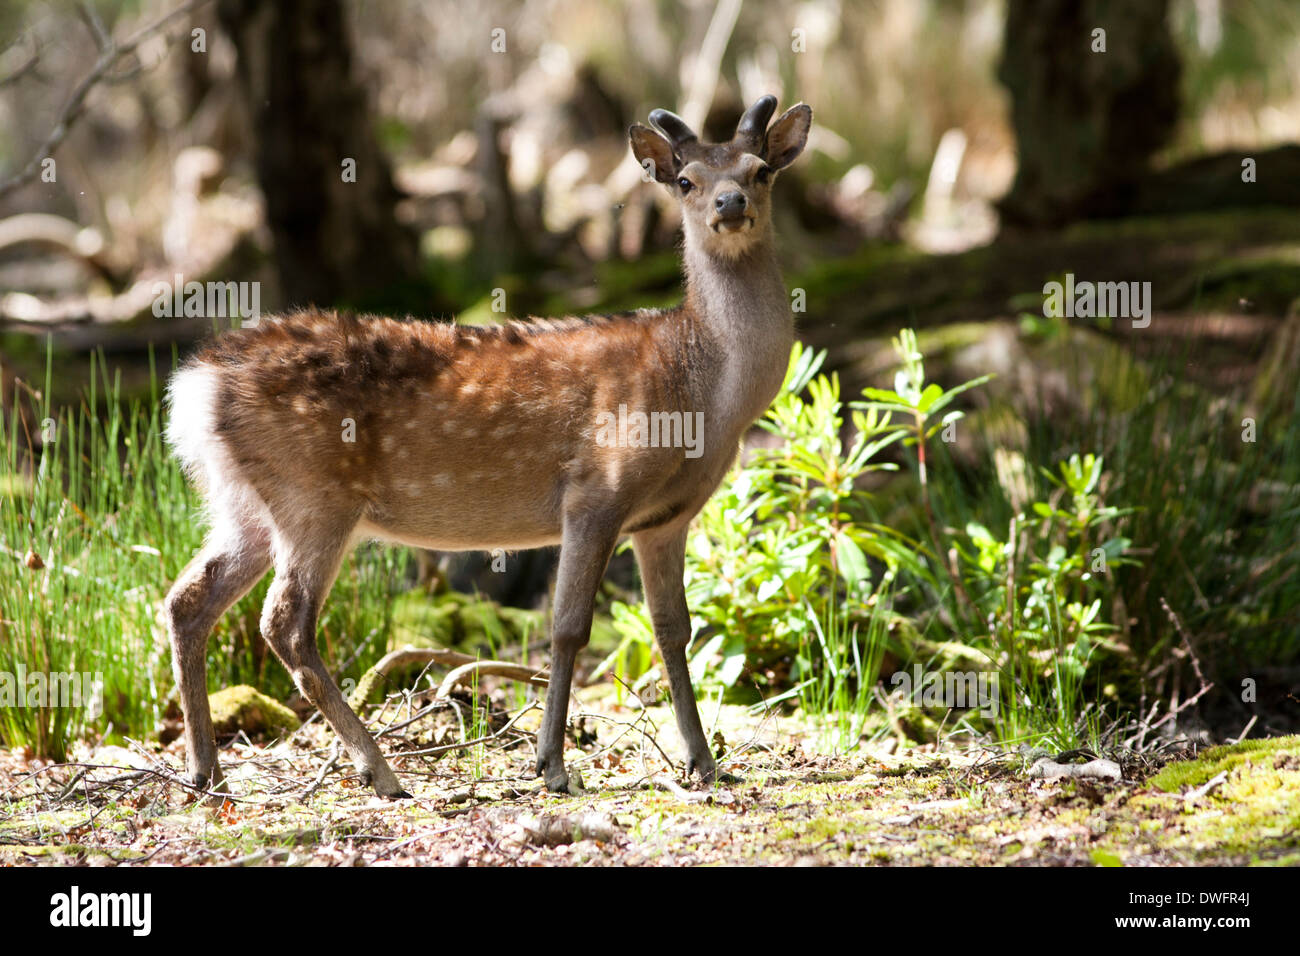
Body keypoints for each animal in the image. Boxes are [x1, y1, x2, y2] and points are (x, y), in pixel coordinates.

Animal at [162, 97, 811, 801]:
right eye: (687, 180)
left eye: (760, 171)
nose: (729, 203)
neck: (701, 392)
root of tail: (194, 387)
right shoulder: (596, 491)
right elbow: (567, 626)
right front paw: (551, 765)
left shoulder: (666, 518)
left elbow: (675, 628)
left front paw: (704, 761)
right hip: (312, 495)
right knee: (284, 622)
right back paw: (379, 770)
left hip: (244, 505)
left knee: (188, 599)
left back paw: (205, 770)